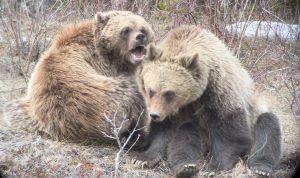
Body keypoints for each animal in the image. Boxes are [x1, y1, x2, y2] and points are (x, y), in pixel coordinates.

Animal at [2, 10, 155, 146]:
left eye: (143, 28)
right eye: (126, 30)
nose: (140, 37)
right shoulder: (103, 66)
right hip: (108, 103)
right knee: (136, 97)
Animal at [135, 25, 282, 177]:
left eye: (169, 93)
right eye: (151, 90)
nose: (154, 115)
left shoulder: (218, 90)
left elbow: (230, 130)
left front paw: (215, 167)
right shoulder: (174, 110)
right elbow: (163, 132)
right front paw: (144, 159)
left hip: (255, 113)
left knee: (267, 127)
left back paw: (261, 167)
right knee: (187, 131)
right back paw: (185, 166)